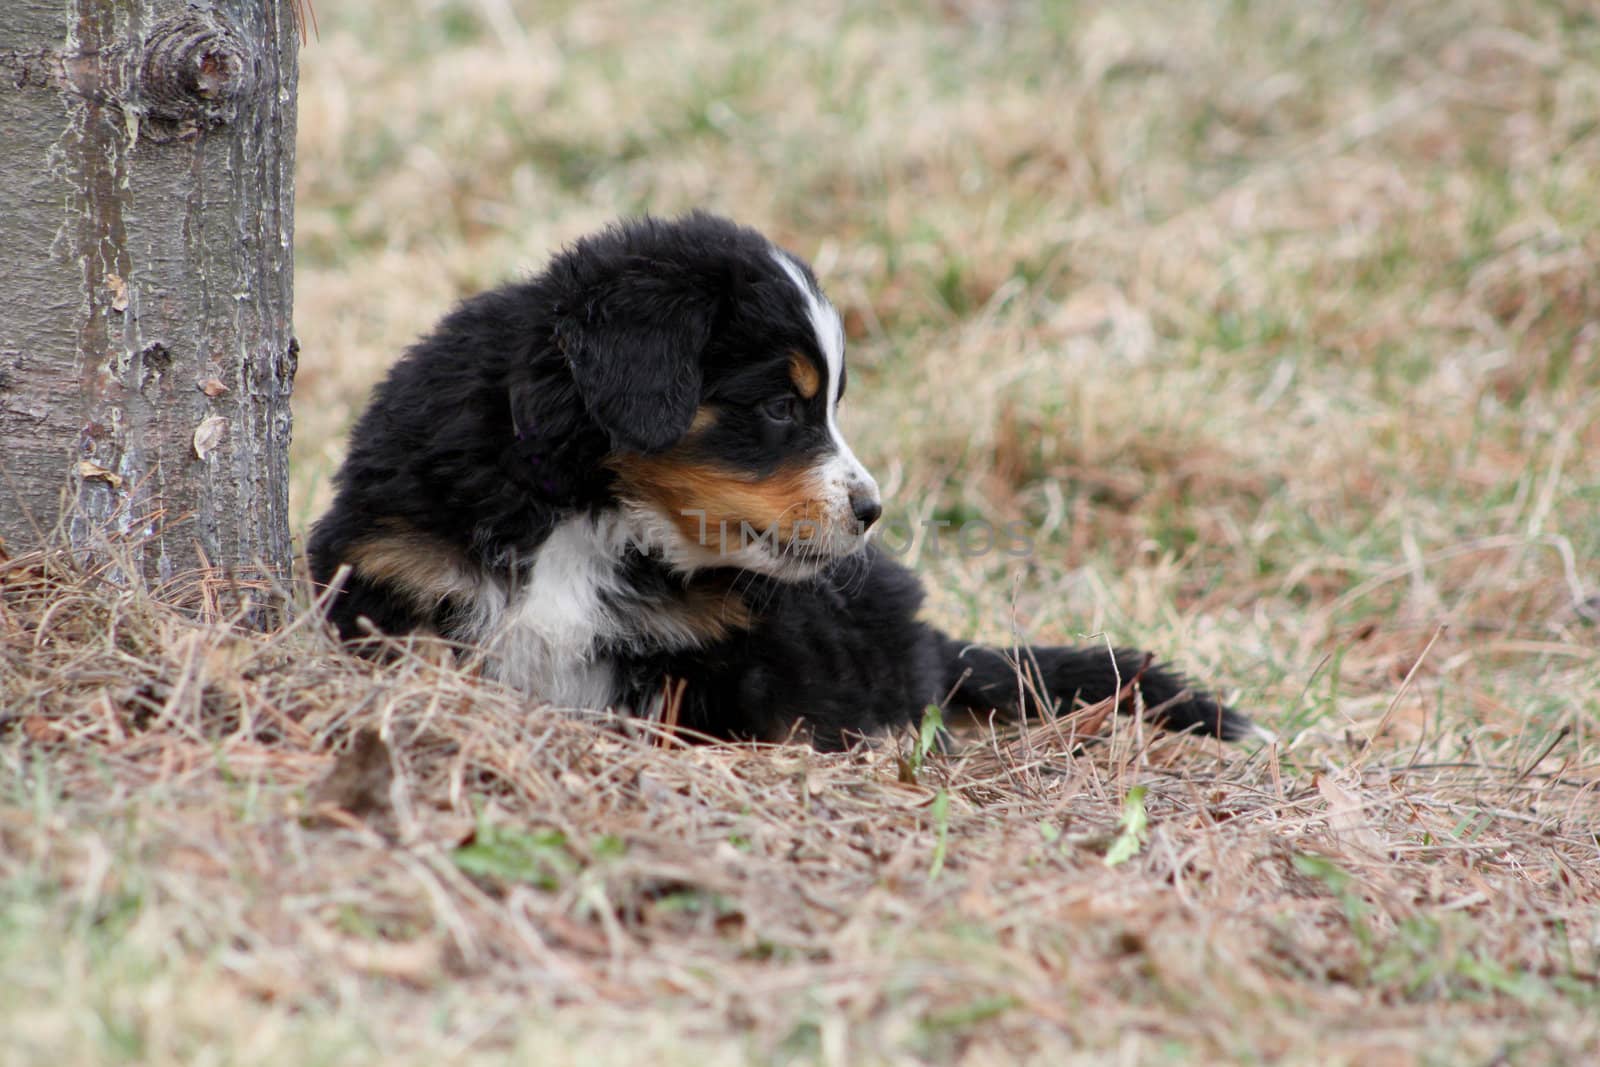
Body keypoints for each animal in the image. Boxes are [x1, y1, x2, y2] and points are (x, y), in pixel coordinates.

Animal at [305, 214, 1254, 751]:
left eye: (829, 402)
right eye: (777, 406)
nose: (872, 510)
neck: (588, 514)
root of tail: (932, 639)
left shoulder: (730, 656)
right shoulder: (391, 566)